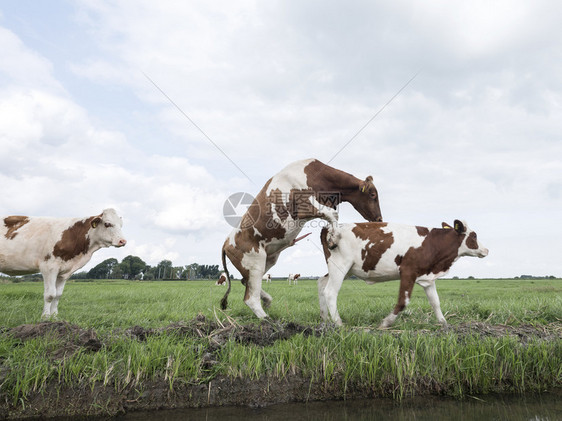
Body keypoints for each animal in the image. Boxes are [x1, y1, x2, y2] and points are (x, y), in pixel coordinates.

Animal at [219, 158, 380, 318]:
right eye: (372, 195)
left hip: (267, 260)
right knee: (250, 298)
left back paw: (267, 301)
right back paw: (267, 319)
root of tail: (225, 244)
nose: (379, 219)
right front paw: (334, 239)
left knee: (245, 283)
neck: (314, 175)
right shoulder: (306, 207)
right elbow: (333, 214)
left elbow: (331, 215)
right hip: (255, 262)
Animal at [320, 220, 486, 328]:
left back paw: (325, 319)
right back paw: (338, 324)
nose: (486, 250)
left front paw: (443, 323)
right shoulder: (408, 271)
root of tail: (330, 227)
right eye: (474, 236)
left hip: (344, 269)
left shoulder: (428, 277)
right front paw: (386, 323)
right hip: (341, 265)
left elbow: (435, 301)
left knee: (321, 283)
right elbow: (403, 302)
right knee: (330, 292)